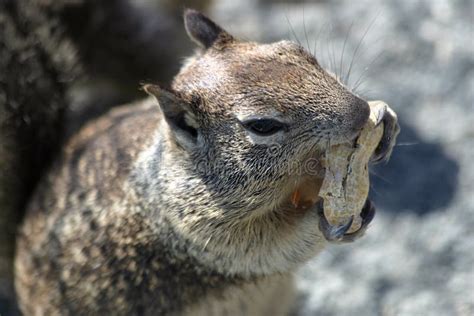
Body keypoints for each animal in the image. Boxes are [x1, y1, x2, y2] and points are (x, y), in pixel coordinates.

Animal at [13, 8, 400, 314]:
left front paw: (384, 129)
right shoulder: (200, 234)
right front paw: (325, 221)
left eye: (299, 51)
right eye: (262, 125)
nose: (359, 110)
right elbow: (272, 246)